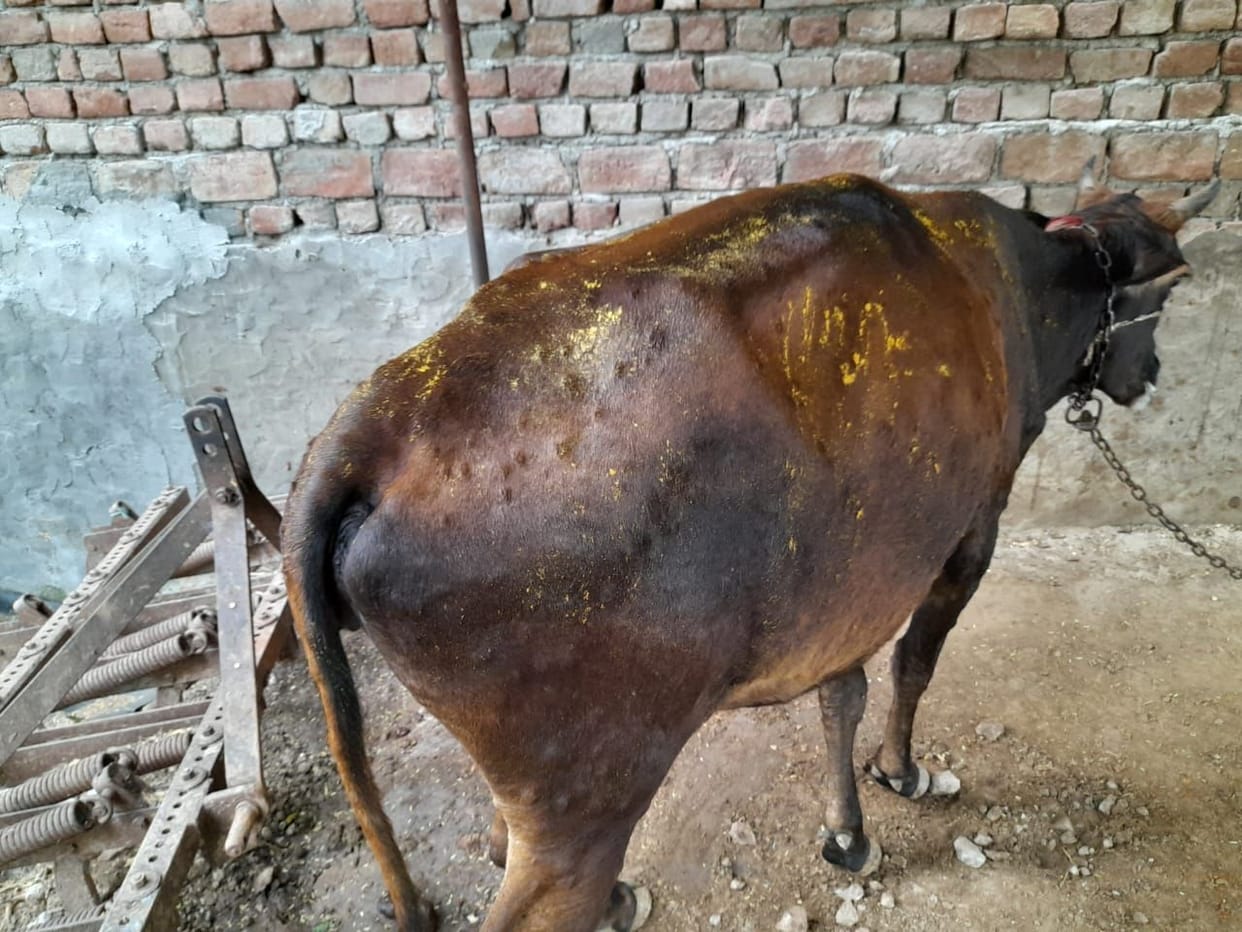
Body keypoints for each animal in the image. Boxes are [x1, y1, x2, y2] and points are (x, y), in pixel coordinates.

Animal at [281, 166, 1218, 931]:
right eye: (1164, 298)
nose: (1152, 375)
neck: (1022, 290)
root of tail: (374, 428)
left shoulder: (851, 578)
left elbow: (842, 692)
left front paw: (847, 832)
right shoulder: (972, 528)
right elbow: (914, 664)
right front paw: (901, 772)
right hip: (588, 795)